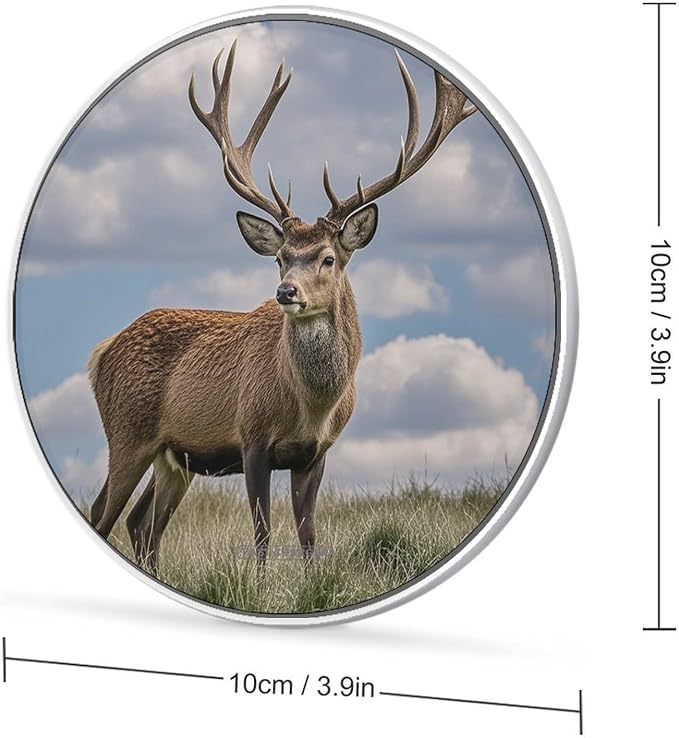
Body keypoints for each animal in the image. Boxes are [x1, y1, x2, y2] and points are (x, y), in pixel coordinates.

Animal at [88, 38, 476, 576]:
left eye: (328, 257)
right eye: (280, 258)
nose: (286, 292)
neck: (308, 406)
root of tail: (102, 351)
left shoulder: (316, 453)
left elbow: (308, 533)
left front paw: (311, 583)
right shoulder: (251, 437)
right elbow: (262, 532)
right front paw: (258, 583)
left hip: (173, 456)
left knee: (142, 521)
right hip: (126, 432)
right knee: (102, 512)